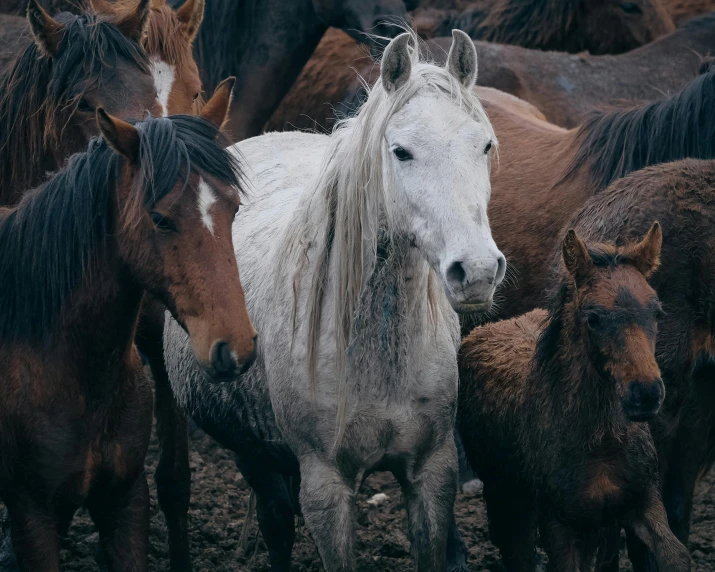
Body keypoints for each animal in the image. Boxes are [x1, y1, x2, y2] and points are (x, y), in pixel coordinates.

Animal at [166, 32, 504, 572]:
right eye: (401, 151)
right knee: (276, 524)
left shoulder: (432, 475)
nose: (475, 271)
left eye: (485, 145)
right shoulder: (325, 487)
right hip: (252, 454)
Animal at [458, 225, 692, 572]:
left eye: (657, 311)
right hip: (505, 495)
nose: (646, 394)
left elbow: (676, 556)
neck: (602, 444)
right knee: (517, 553)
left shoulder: (642, 501)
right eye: (593, 317)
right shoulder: (558, 524)